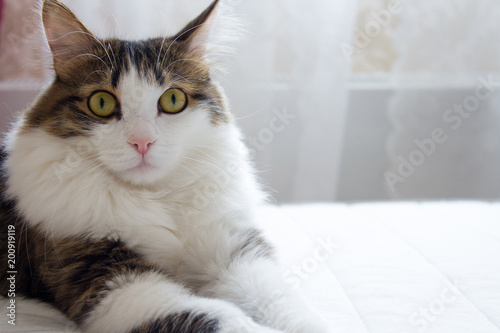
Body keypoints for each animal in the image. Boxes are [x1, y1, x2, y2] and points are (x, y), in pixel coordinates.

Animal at [1, 0, 332, 332]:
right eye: (102, 103)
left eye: (173, 100)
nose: (142, 142)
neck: (156, 196)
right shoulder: (110, 277)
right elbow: (218, 316)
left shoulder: (232, 247)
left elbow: (282, 304)